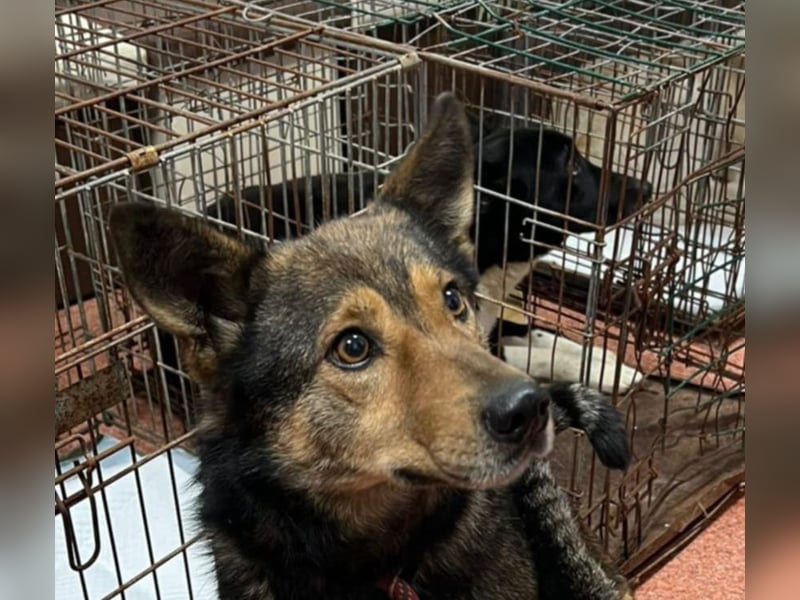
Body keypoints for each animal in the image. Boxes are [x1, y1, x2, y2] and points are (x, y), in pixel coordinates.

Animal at [109, 92, 634, 599]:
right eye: (353, 347)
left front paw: (613, 364)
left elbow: (541, 334)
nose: (530, 408)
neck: (379, 563)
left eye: (452, 300)